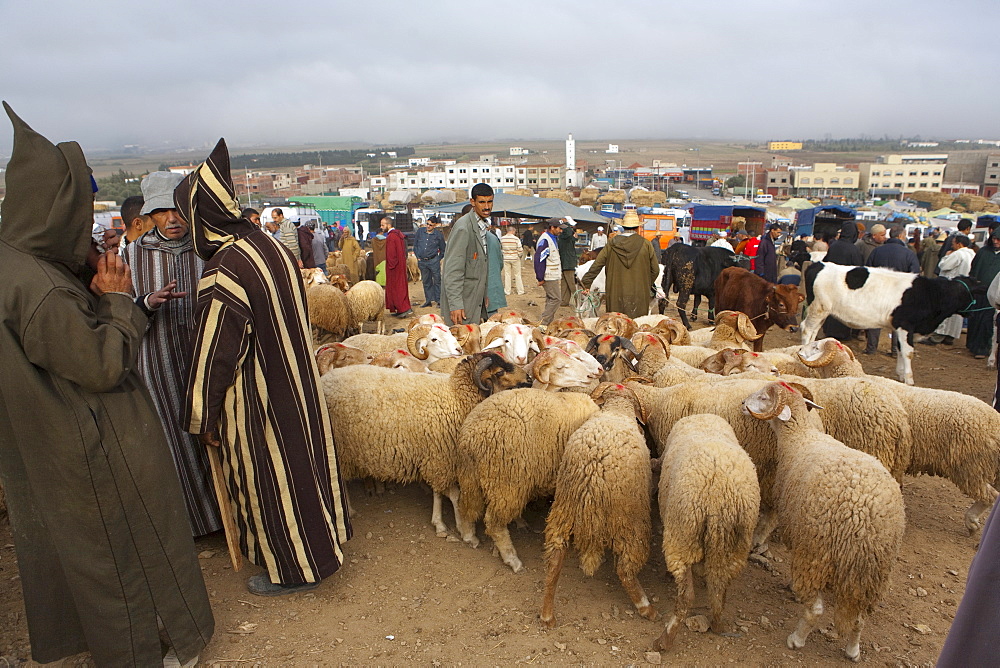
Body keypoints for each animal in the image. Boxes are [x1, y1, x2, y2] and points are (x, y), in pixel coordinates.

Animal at [540, 384, 656, 628]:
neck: (617, 410)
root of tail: (592, 477)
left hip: (563, 509)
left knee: (554, 558)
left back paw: (547, 615)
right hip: (631, 522)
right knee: (625, 570)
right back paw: (646, 608)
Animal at [656, 414, 756, 648]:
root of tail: (719, 502)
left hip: (682, 534)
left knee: (687, 596)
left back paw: (664, 640)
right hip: (736, 548)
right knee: (719, 587)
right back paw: (718, 623)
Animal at [744, 380, 908, 664]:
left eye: (764, 397)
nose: (743, 404)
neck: (800, 437)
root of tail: (863, 521)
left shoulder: (799, 537)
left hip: (816, 553)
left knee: (816, 610)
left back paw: (796, 638)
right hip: (873, 575)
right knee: (859, 620)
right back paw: (853, 651)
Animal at [800, 260, 980, 386]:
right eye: (972, 292)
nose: (973, 313)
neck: (930, 293)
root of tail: (819, 264)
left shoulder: (898, 327)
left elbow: (900, 349)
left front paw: (900, 374)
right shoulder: (906, 325)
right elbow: (908, 352)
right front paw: (909, 379)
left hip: (822, 313)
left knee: (813, 331)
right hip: (818, 308)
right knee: (806, 329)